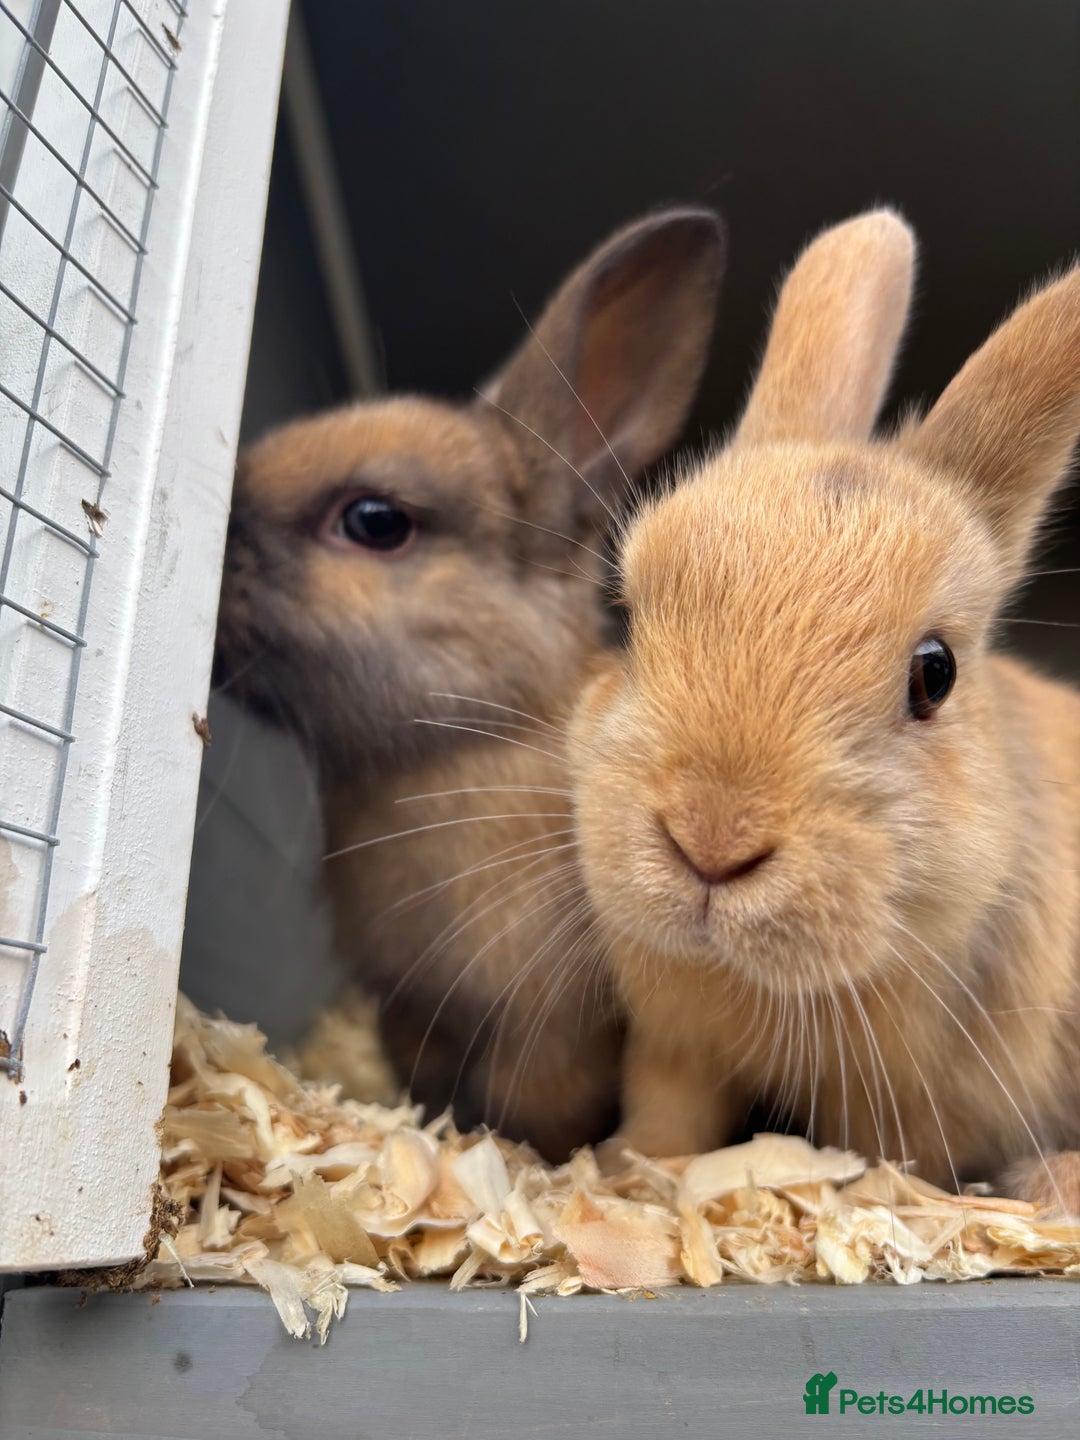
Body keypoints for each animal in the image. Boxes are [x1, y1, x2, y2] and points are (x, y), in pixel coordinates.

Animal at [569, 207, 1080, 1209]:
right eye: (632, 615)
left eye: (934, 674)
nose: (711, 841)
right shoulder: (676, 1048)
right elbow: (666, 1119)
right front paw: (629, 1174)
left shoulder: (910, 1103)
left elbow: (887, 1159)